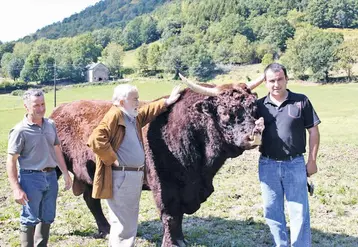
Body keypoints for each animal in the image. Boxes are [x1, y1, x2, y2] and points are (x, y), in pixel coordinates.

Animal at [50, 75, 262, 247]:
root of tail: (58, 110)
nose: (254, 135)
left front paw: (181, 239)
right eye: (226, 113)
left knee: (91, 199)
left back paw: (106, 230)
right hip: (57, 167)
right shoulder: (164, 185)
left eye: (254, 108)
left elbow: (178, 216)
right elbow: (170, 215)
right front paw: (171, 242)